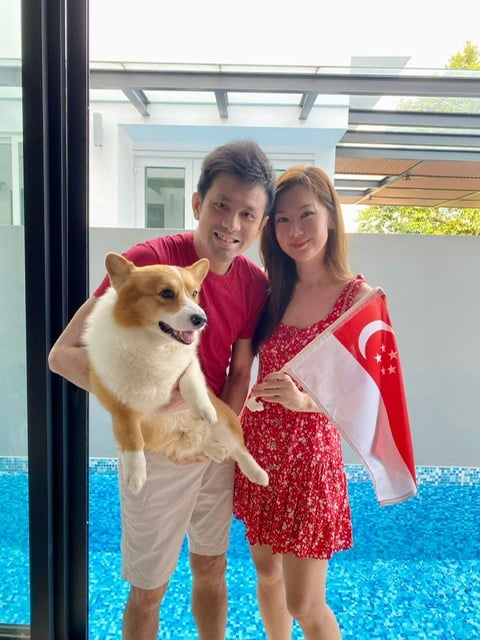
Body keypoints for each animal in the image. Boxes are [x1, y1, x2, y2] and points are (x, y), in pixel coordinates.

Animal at [83, 252, 270, 492]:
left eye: (194, 293)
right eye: (166, 293)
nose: (202, 320)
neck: (154, 346)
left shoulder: (190, 364)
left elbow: (189, 382)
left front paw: (204, 409)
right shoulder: (117, 402)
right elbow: (131, 436)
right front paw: (135, 475)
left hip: (227, 421)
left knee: (239, 449)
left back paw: (258, 474)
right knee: (201, 448)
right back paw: (216, 451)